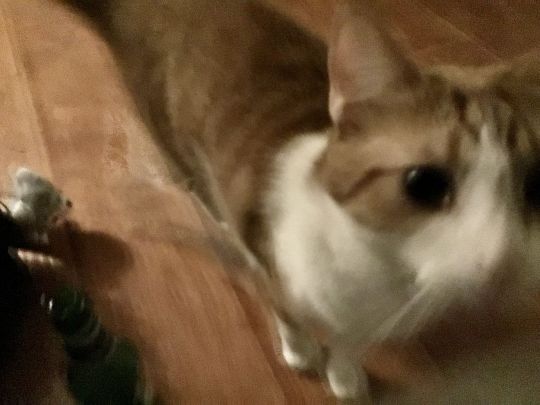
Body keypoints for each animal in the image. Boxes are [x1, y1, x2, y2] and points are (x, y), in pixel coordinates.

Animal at [64, 0, 540, 401]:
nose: (504, 261)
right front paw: (303, 354)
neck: (381, 272)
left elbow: (350, 344)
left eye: (535, 186)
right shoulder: (275, 270)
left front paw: (344, 373)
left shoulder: (367, 321)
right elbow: (289, 316)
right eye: (423, 183)